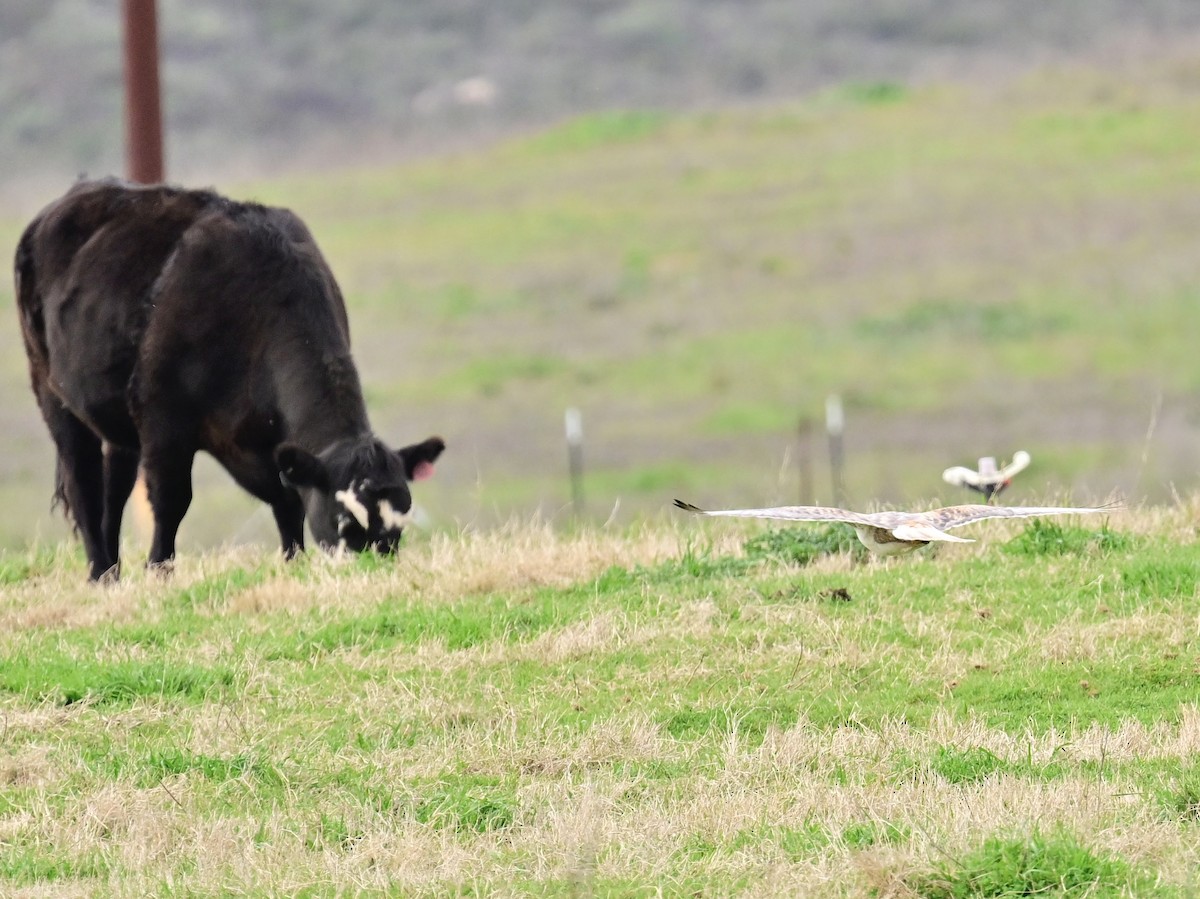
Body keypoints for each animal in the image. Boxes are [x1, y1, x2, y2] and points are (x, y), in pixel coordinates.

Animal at [12, 177, 446, 583]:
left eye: (398, 528)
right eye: (344, 524)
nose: (372, 568)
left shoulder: (266, 442)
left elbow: (288, 502)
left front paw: (294, 562)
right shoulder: (163, 417)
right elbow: (171, 500)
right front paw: (160, 572)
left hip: (117, 420)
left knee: (113, 489)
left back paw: (115, 573)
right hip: (50, 388)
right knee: (83, 483)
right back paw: (100, 574)